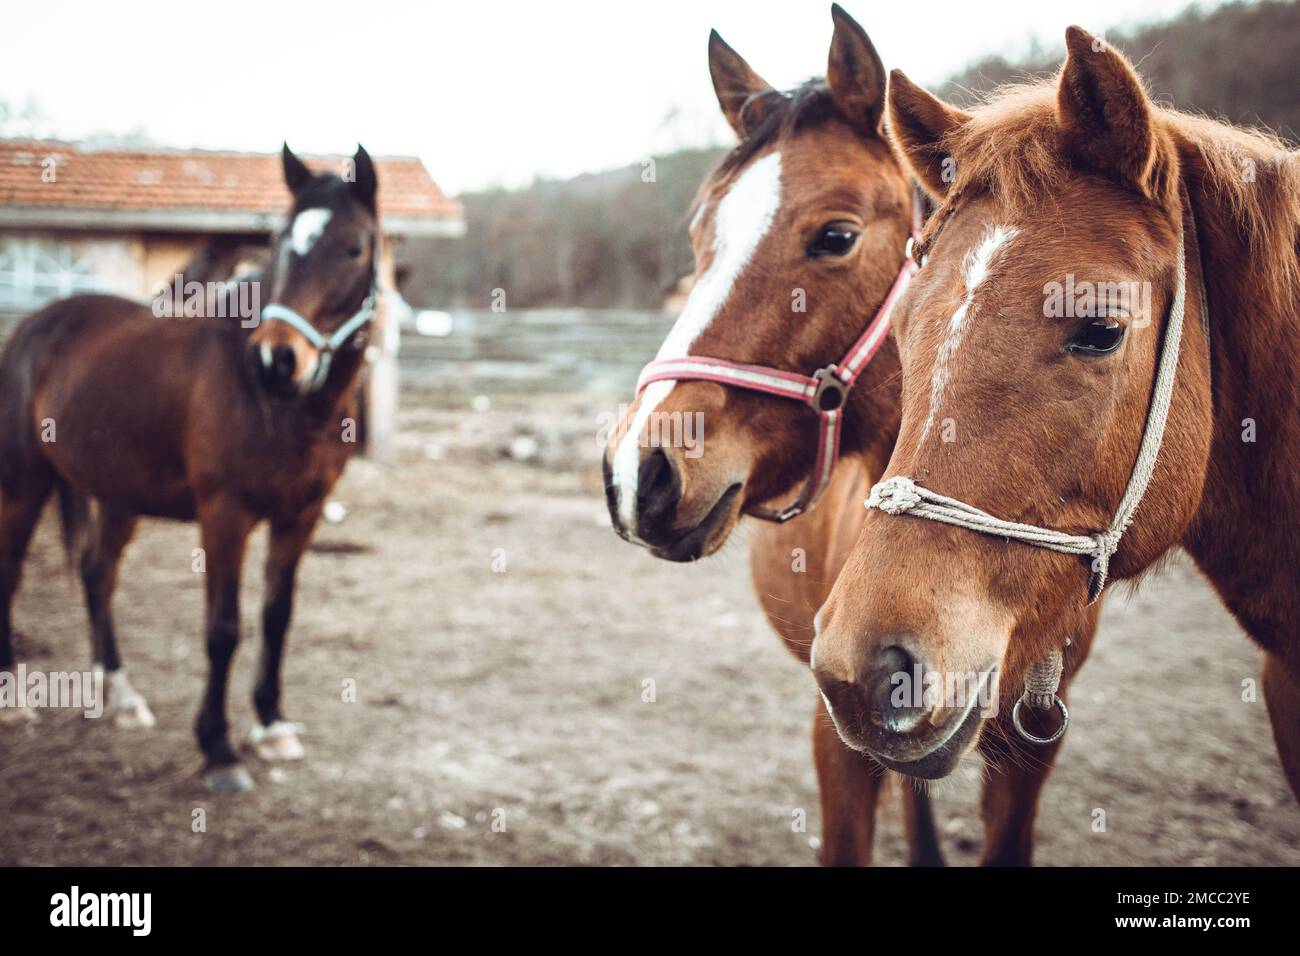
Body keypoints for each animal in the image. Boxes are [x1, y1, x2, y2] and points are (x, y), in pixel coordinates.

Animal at [0, 144, 382, 792]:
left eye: (354, 246)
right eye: (281, 243)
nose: (278, 360)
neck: (279, 406)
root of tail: (34, 325)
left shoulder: (300, 516)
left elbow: (276, 617)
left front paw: (271, 726)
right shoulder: (224, 516)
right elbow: (223, 628)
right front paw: (219, 749)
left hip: (117, 496)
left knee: (96, 573)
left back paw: (121, 695)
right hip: (23, 485)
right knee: (11, 573)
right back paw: (13, 701)